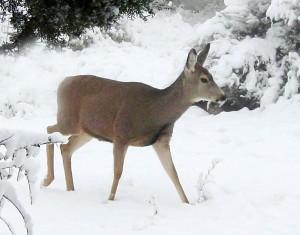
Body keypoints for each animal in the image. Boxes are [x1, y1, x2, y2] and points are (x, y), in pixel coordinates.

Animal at [42, 44, 225, 204]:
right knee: (49, 129)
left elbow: (173, 173)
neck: (156, 112)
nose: (223, 96)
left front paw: (187, 204)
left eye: (212, 76)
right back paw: (47, 180)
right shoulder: (121, 134)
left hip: (87, 131)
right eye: (204, 79)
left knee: (65, 147)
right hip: (68, 119)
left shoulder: (161, 141)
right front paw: (110, 200)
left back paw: (69, 189)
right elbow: (118, 172)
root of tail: (63, 82)